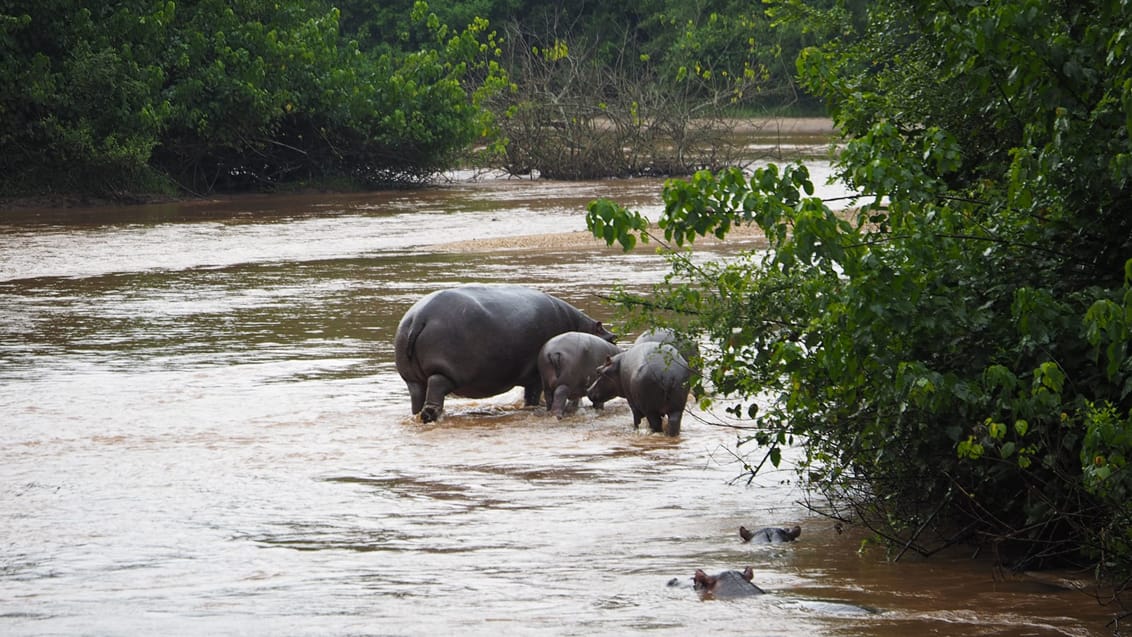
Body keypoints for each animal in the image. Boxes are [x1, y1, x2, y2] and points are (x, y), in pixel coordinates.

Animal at [393, 285, 615, 423]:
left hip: (412, 378)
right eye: (613, 339)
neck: (579, 326)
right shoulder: (535, 377)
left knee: (417, 397)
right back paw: (432, 416)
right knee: (436, 389)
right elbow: (532, 396)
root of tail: (419, 317)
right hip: (444, 373)